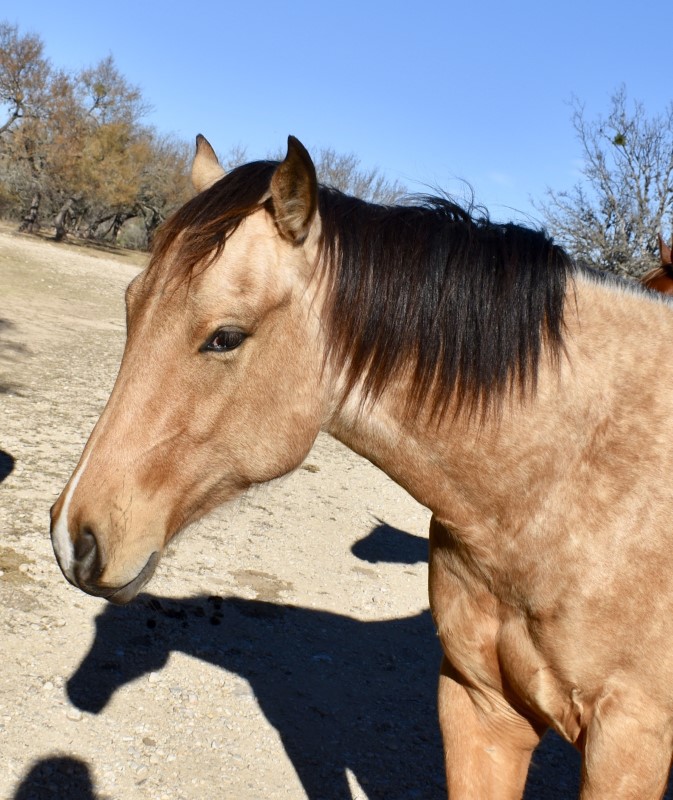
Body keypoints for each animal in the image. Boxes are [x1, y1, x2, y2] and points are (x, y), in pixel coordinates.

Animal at [52, 134, 673, 796]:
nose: (72, 539)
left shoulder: (628, 747)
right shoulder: (481, 708)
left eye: (225, 337)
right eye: (131, 305)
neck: (557, 486)